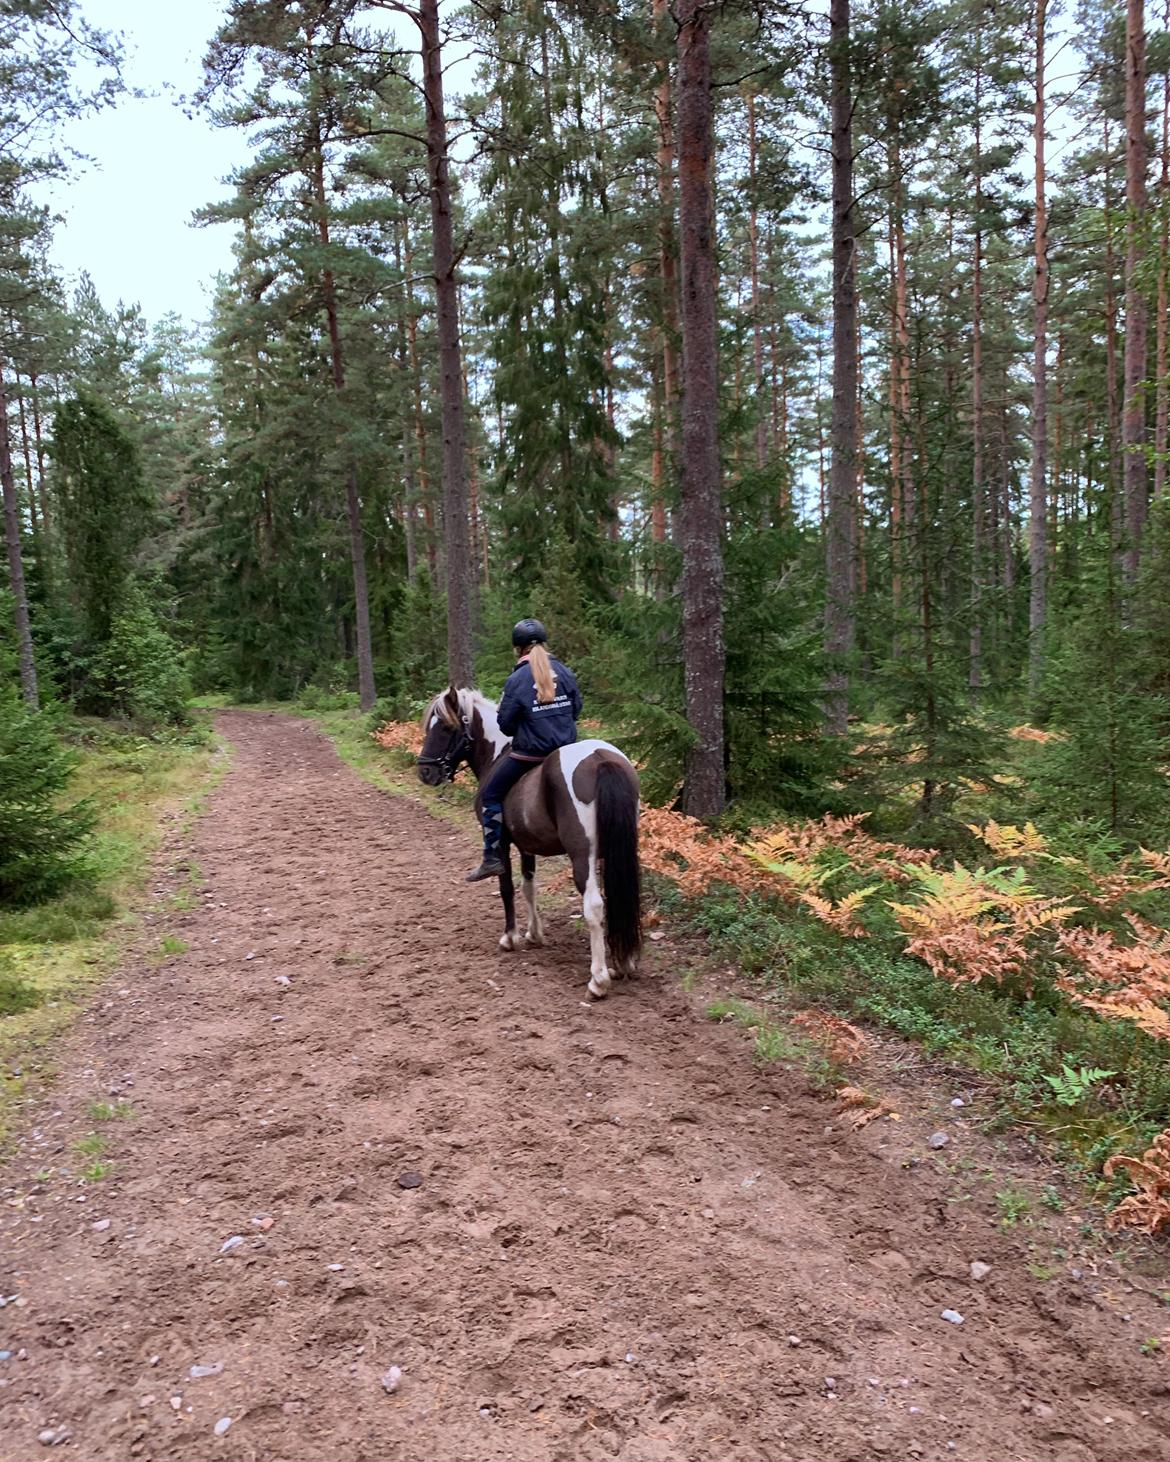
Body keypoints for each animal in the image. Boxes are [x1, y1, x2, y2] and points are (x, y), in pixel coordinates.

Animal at [418, 690, 640, 1000]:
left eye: (445, 728)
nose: (425, 772)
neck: (497, 753)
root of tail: (600, 759)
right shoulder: (527, 844)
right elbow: (529, 886)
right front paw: (534, 934)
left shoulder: (502, 843)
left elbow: (507, 888)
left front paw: (510, 937)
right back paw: (624, 962)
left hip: (583, 856)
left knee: (594, 906)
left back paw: (598, 980)